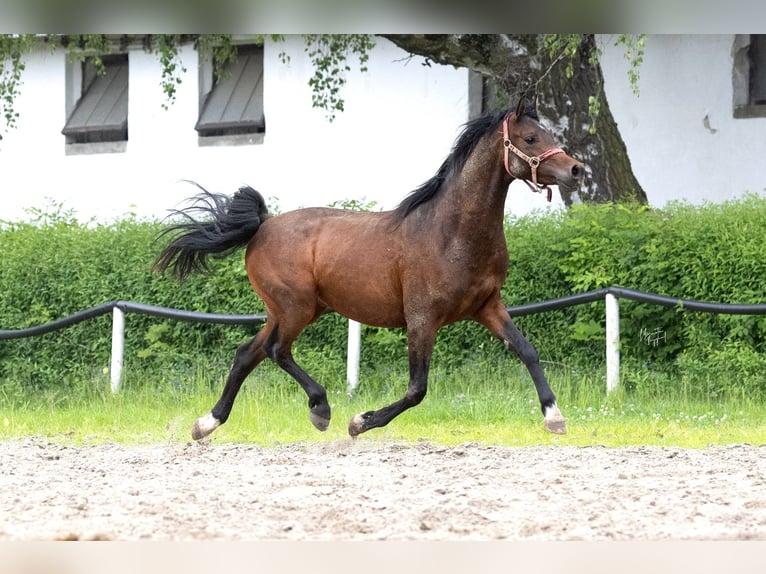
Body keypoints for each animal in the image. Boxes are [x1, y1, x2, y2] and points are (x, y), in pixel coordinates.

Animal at [153, 97, 584, 440]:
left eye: (546, 132)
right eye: (530, 139)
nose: (575, 171)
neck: (452, 231)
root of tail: (263, 224)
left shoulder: (487, 306)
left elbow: (528, 351)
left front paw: (554, 417)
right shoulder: (422, 318)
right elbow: (417, 389)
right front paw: (360, 421)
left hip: (288, 310)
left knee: (248, 353)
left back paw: (206, 424)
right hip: (295, 308)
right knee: (277, 350)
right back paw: (321, 409)